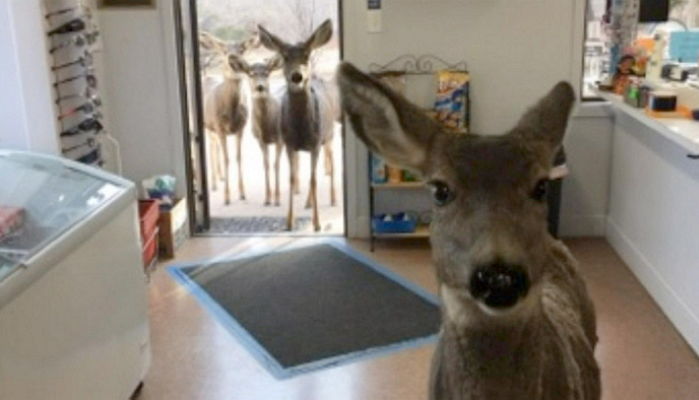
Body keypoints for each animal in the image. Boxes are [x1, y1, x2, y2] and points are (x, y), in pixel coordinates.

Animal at [230, 54, 284, 206]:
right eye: (251, 74)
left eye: (266, 73)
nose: (260, 87)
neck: (267, 126)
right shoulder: (260, 140)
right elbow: (266, 165)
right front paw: (267, 199)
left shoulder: (280, 138)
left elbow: (276, 165)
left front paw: (277, 199)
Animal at [260, 19, 340, 231]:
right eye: (285, 56)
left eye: (306, 55)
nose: (297, 77)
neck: (302, 129)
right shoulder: (289, 144)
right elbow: (292, 178)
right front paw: (289, 221)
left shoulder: (316, 142)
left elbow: (313, 180)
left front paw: (317, 223)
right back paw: (308, 203)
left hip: (329, 136)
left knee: (331, 164)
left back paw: (334, 199)